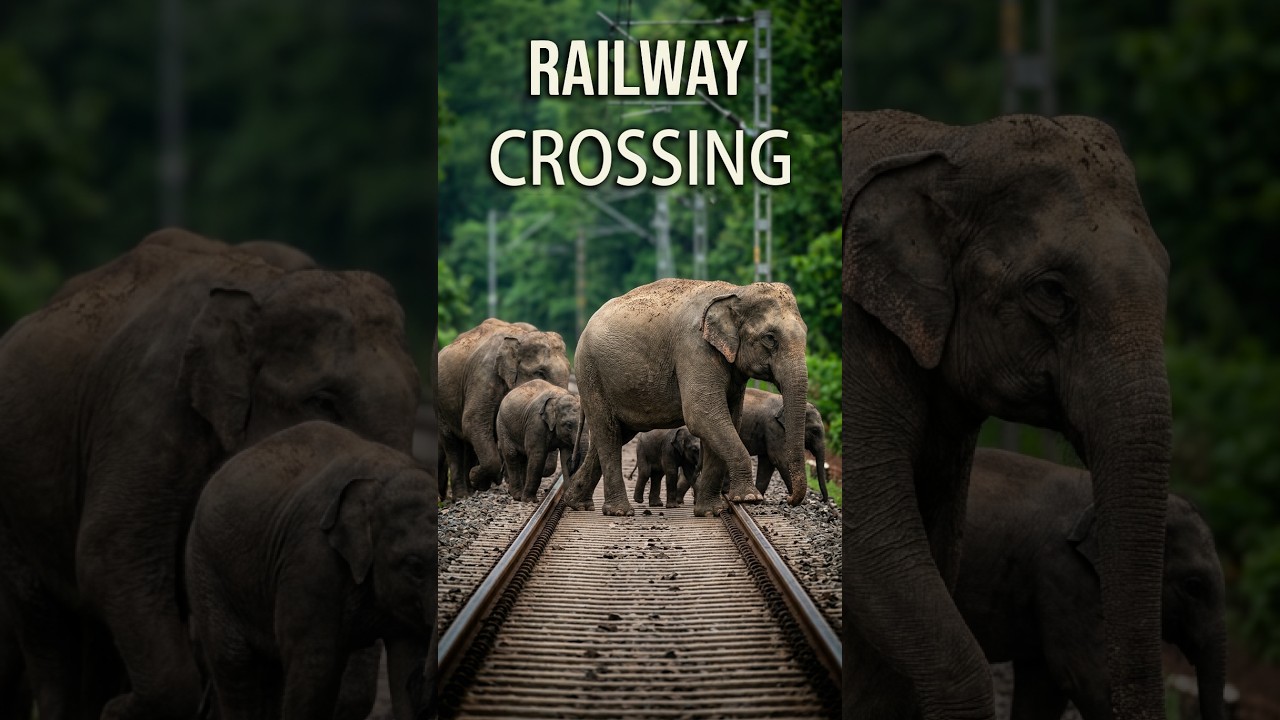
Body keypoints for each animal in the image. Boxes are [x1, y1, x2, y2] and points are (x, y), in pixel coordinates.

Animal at [186, 420, 435, 720]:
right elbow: (315, 666)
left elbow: (408, 662)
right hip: (206, 571)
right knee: (235, 665)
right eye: (415, 566)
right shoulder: (311, 558)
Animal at [437, 318, 571, 500]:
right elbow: (472, 422)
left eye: (570, 371)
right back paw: (463, 495)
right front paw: (479, 478)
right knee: (453, 443)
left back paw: (472, 489)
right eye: (540, 372)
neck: (520, 336)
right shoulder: (484, 375)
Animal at [567, 278, 809, 517]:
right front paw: (748, 499)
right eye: (770, 338)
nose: (790, 500)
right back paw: (619, 511)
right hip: (590, 373)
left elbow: (727, 419)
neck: (735, 291)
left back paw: (578, 503)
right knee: (608, 432)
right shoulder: (694, 348)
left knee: (614, 434)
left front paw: (710, 511)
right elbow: (703, 415)